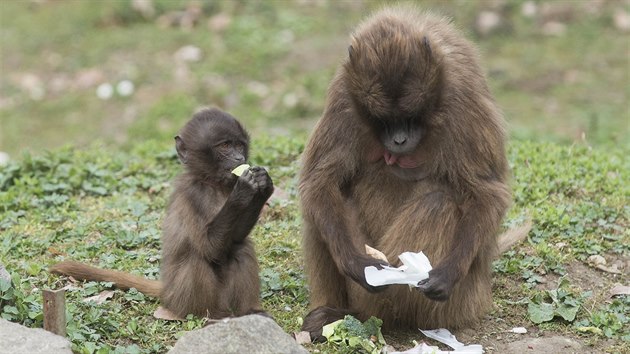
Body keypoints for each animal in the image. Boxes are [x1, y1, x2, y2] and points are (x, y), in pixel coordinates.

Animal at [51, 108, 274, 318]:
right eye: (225, 146)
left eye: (240, 145)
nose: (240, 158)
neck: (211, 183)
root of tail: (167, 291)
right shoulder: (193, 194)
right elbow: (210, 248)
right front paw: (244, 189)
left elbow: (234, 239)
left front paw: (263, 186)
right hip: (181, 299)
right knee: (197, 257)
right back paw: (211, 316)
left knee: (241, 247)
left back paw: (249, 311)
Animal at [298, 6, 532, 336]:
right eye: (382, 119)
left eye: (410, 115)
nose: (399, 141)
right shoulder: (344, 95)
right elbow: (320, 181)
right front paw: (358, 265)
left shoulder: (462, 99)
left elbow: (486, 192)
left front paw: (446, 274)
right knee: (328, 202)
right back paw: (337, 312)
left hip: (460, 302)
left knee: (438, 202)